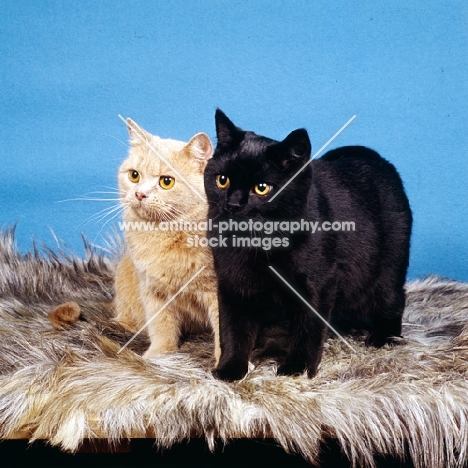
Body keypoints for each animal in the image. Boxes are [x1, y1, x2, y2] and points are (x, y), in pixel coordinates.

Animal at [205, 109, 410, 380]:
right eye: (223, 180)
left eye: (262, 188)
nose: (233, 205)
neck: (260, 246)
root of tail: (373, 157)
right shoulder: (232, 284)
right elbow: (232, 330)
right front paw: (230, 369)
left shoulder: (318, 284)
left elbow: (308, 329)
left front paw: (297, 368)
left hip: (386, 272)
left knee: (394, 300)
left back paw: (383, 336)